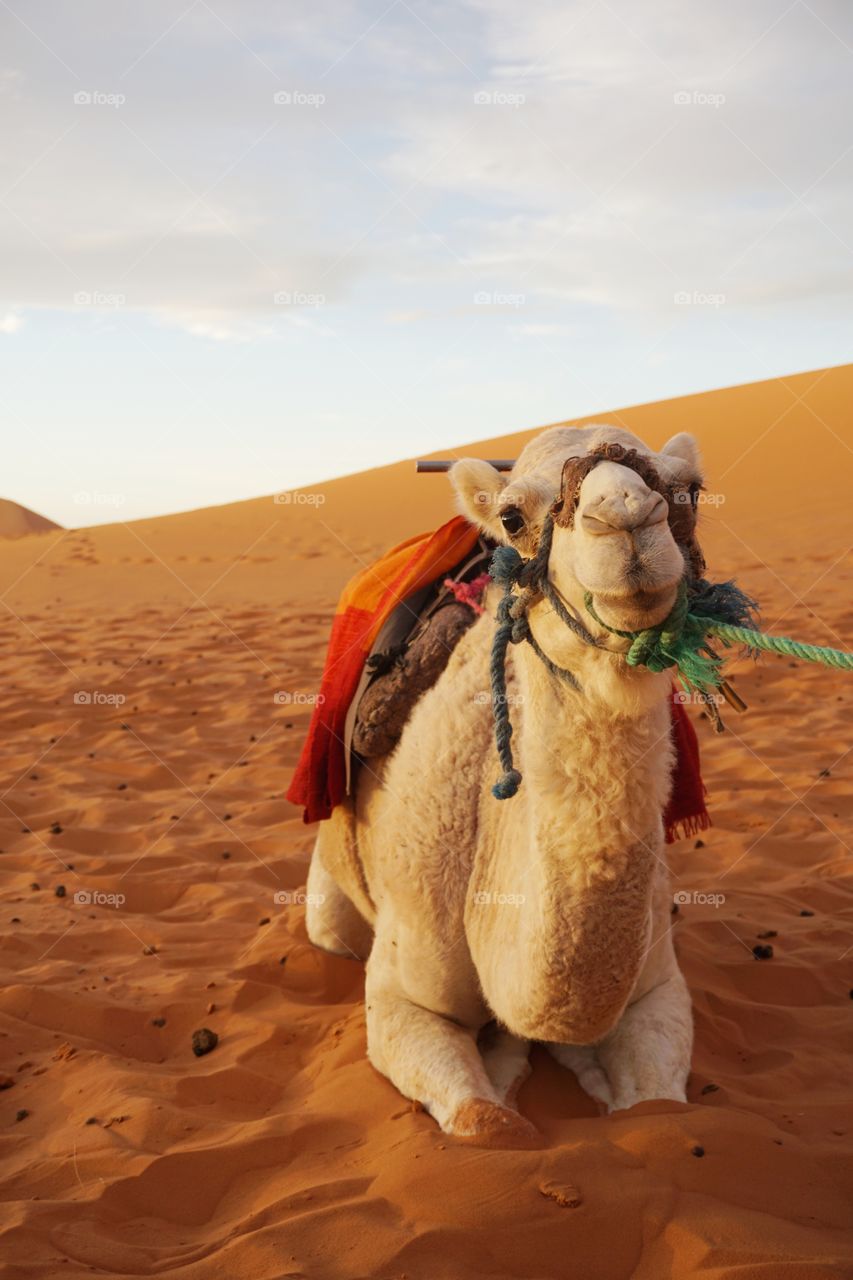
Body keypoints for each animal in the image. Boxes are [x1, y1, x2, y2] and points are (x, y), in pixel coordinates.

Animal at [305, 423, 701, 1145]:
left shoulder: (659, 986)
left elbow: (659, 1109)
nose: (625, 514)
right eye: (514, 518)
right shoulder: (399, 993)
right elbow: (484, 1122)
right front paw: (505, 1073)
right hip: (329, 905)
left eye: (690, 489)